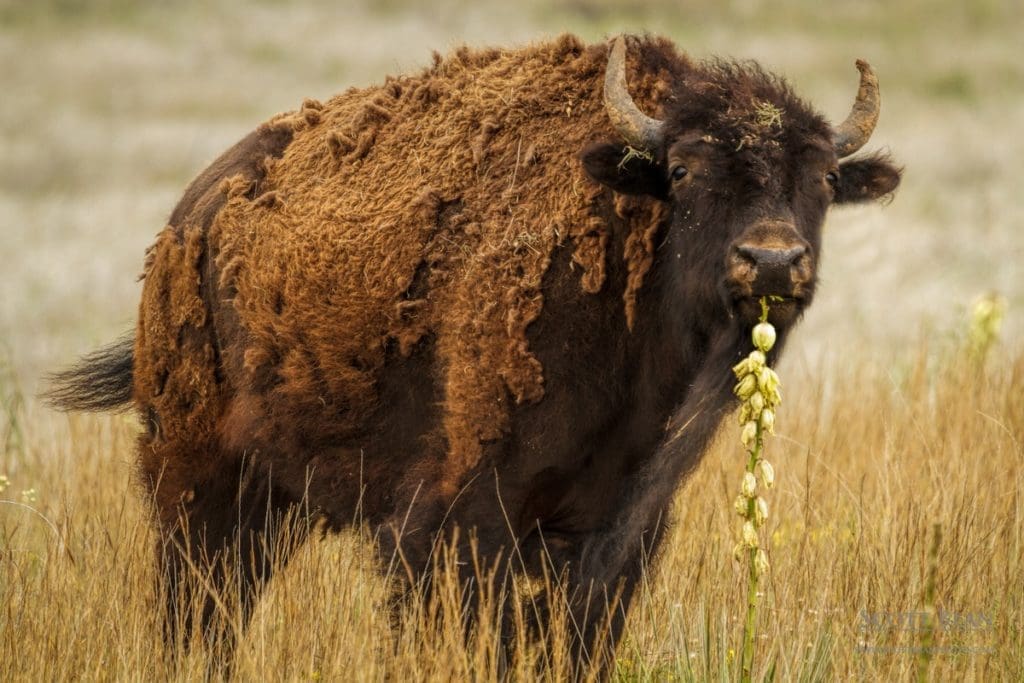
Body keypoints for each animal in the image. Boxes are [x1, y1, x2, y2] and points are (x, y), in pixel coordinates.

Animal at [48, 31, 901, 671]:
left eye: (825, 178)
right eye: (686, 170)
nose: (772, 261)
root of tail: (189, 220)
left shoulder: (610, 539)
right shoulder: (460, 524)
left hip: (275, 498)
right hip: (193, 478)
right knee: (196, 603)